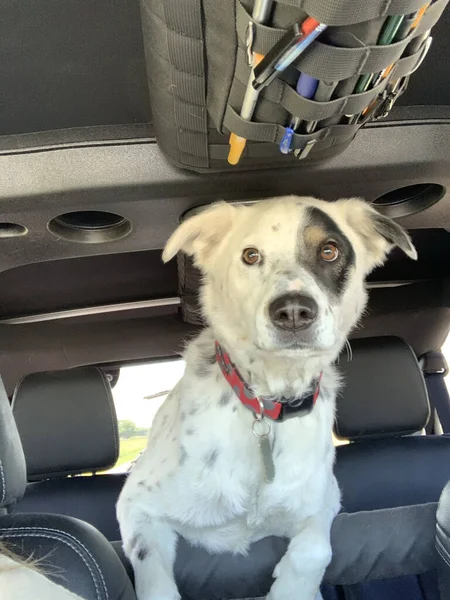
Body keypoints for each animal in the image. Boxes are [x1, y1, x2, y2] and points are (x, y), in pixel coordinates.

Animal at [118, 197, 416, 600]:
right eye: (250, 255)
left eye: (330, 250)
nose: (292, 311)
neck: (269, 402)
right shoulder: (137, 505)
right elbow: (154, 577)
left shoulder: (325, 498)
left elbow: (315, 550)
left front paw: (291, 588)